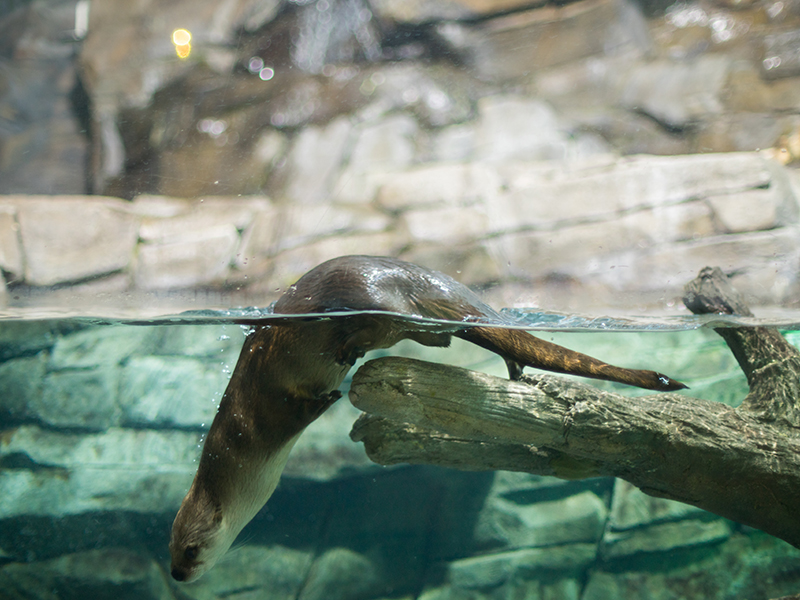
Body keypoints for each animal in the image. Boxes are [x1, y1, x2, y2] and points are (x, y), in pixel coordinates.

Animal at [169, 255, 685, 582]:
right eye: (170, 549)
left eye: (192, 549)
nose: (177, 575)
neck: (243, 451)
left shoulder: (266, 412)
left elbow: (303, 401)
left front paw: (333, 393)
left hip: (376, 300)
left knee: (398, 325)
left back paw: (349, 346)